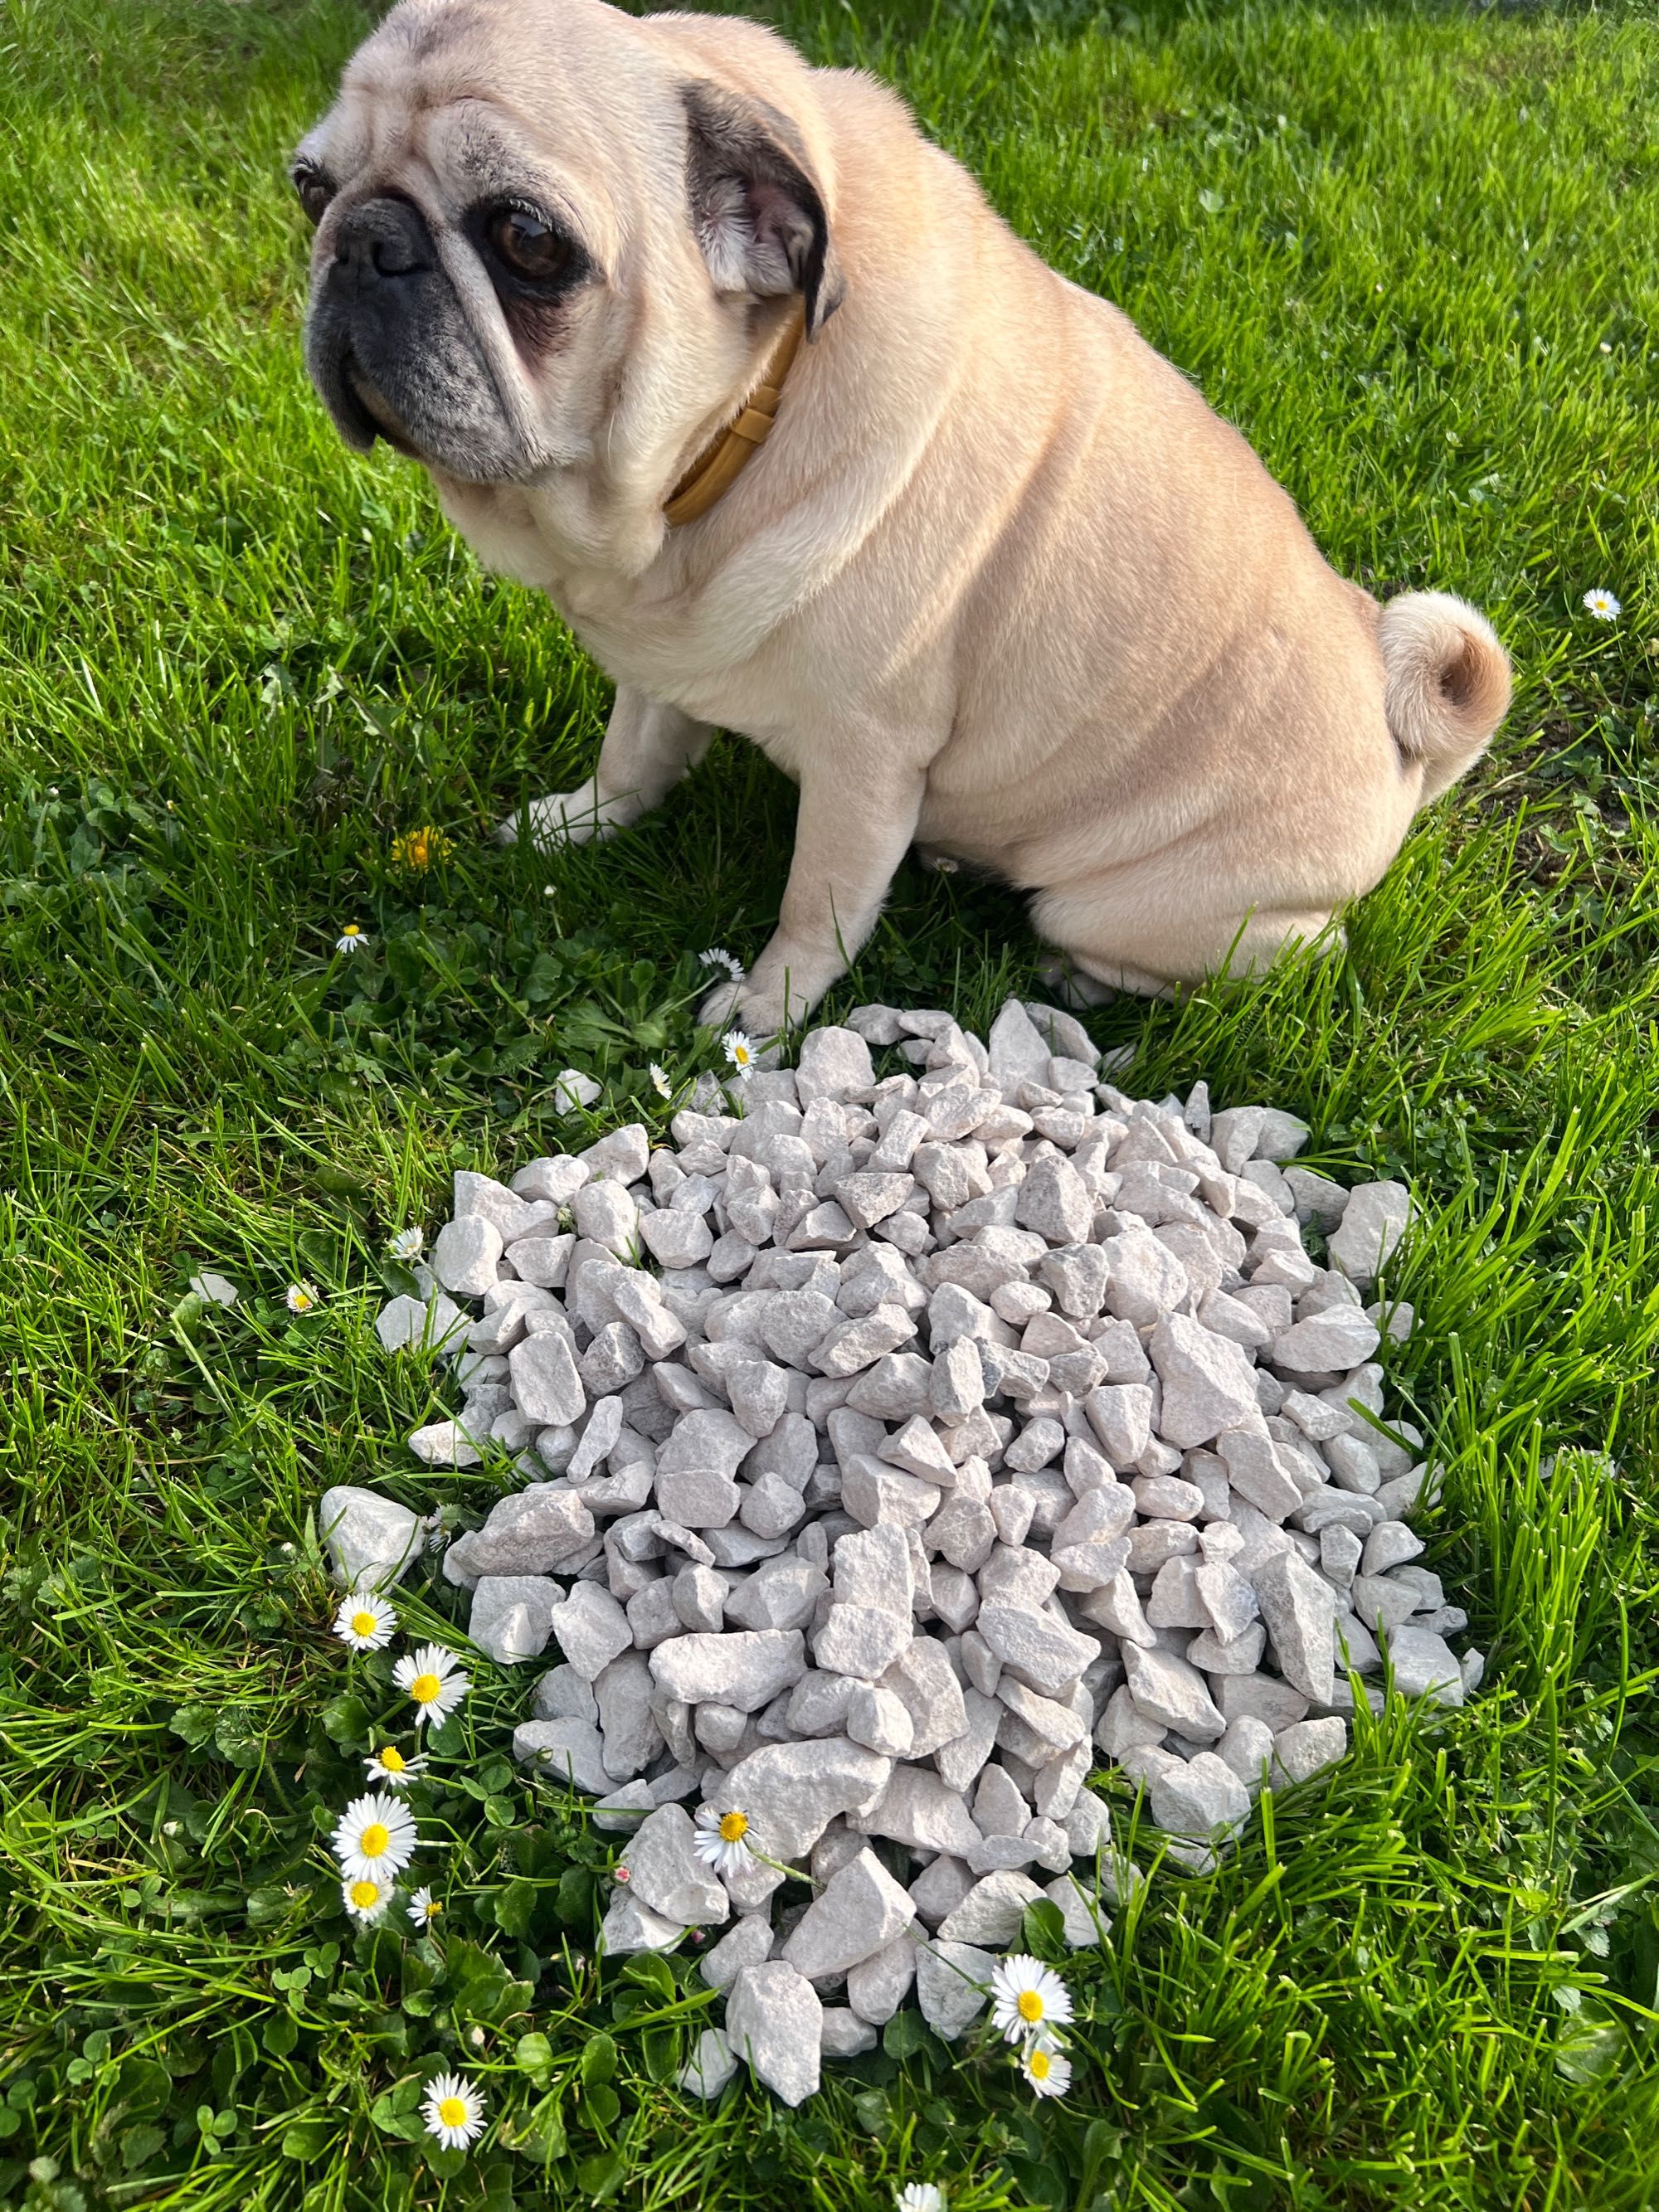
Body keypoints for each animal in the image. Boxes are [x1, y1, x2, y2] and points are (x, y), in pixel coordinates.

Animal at [292, 0, 1513, 1035]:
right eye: (309, 186)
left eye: (528, 241)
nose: (362, 241)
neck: (743, 428)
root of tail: (1400, 738)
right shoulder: (660, 660)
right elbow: (635, 751)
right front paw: (580, 819)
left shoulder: (863, 762)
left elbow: (818, 902)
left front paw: (769, 1008)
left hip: (1135, 907)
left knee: (1261, 952)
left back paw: (1076, 971)